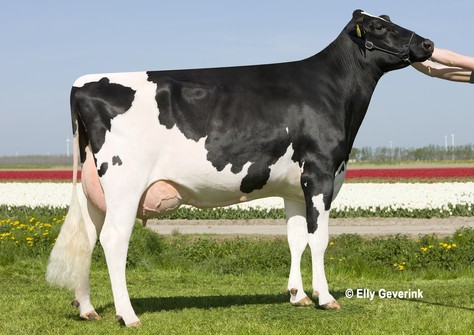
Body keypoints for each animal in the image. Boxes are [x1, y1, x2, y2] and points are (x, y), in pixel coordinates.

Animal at [45, 10, 434, 328]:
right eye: (379, 27)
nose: (428, 43)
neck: (332, 91)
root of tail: (84, 83)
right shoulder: (320, 174)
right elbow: (318, 239)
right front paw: (325, 298)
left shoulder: (295, 187)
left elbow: (295, 238)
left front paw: (298, 295)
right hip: (125, 183)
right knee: (113, 240)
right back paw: (128, 315)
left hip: (95, 191)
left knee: (89, 238)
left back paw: (87, 309)